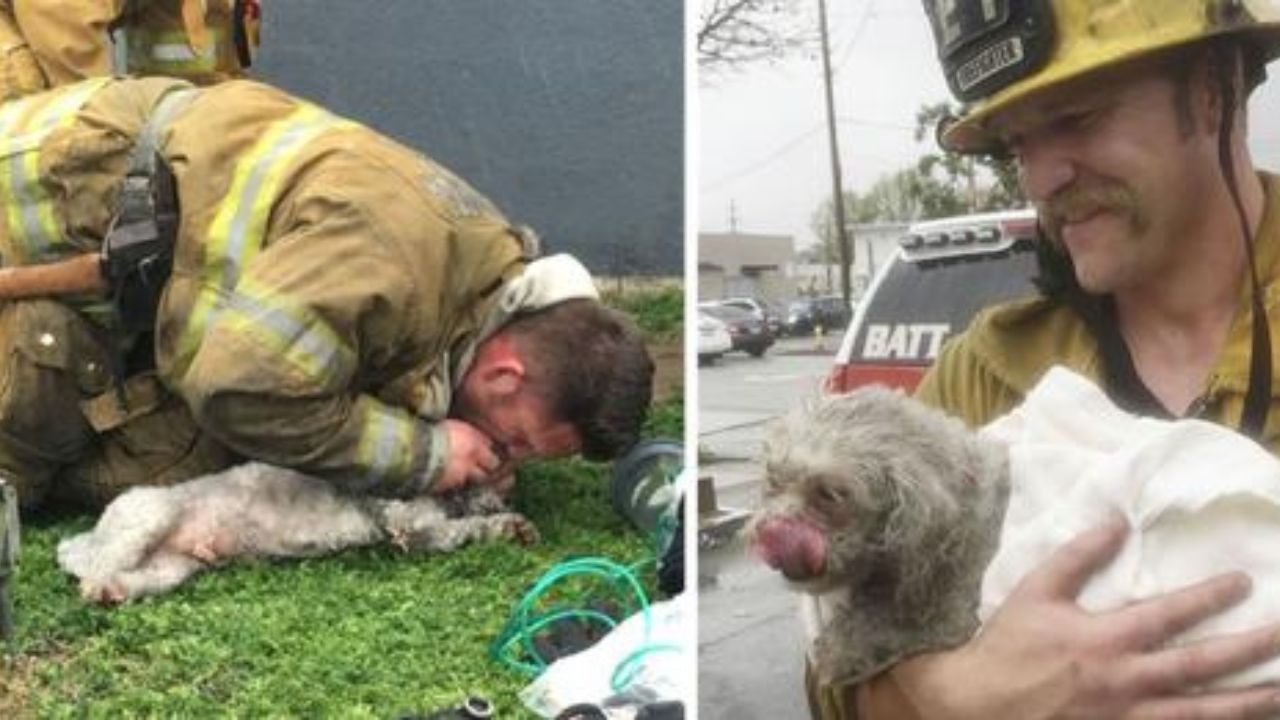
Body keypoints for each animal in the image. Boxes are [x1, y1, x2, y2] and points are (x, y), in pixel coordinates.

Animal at [53, 458, 535, 599]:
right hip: (147, 517)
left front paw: (513, 528)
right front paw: (499, 523)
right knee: (95, 568)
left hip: (170, 569)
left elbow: (467, 527)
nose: (509, 498)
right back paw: (97, 587)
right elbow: (458, 529)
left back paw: (114, 593)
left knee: (133, 578)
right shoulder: (409, 525)